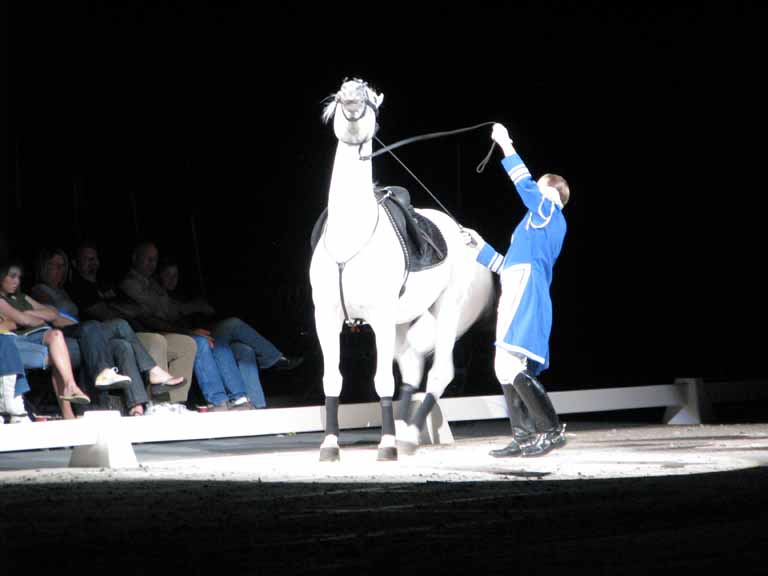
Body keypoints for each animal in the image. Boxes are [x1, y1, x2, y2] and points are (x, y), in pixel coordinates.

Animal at [308, 77, 496, 464]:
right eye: (341, 93)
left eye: (369, 96)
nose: (352, 94)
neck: (351, 237)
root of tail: (465, 234)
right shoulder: (327, 318)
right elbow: (332, 379)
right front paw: (330, 445)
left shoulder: (379, 317)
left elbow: (382, 381)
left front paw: (386, 446)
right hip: (400, 322)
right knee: (411, 368)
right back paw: (407, 433)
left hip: (446, 311)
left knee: (439, 373)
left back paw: (405, 438)